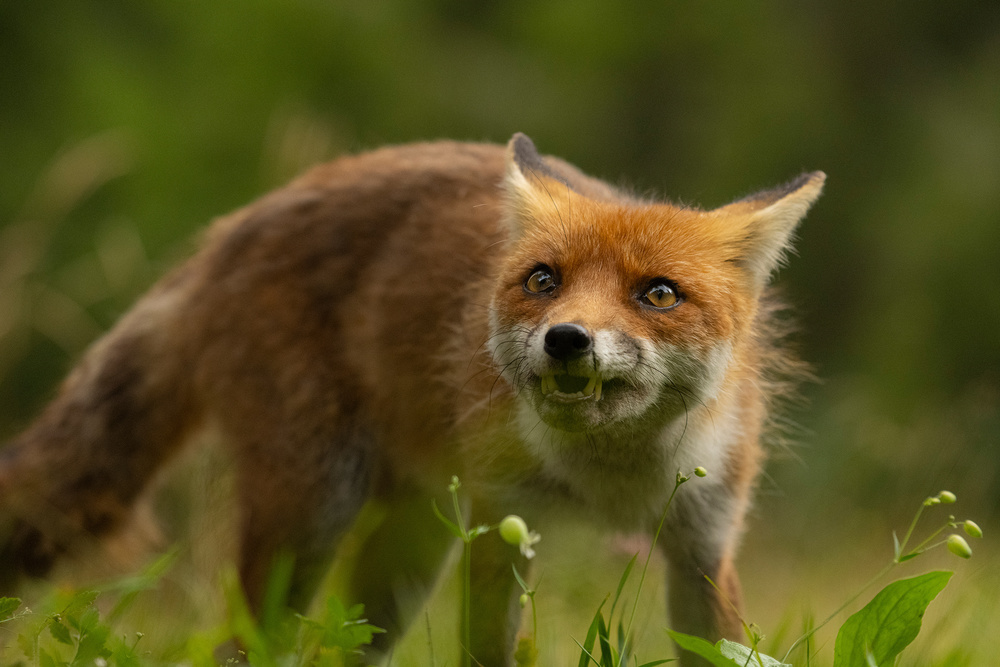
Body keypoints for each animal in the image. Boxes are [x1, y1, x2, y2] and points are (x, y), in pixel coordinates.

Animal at [0, 133, 823, 665]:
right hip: (316, 509)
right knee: (249, 644)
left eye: (658, 293)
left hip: (406, 551)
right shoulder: (501, 524)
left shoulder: (704, 544)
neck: (609, 481)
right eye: (544, 280)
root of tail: (232, 229)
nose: (567, 339)